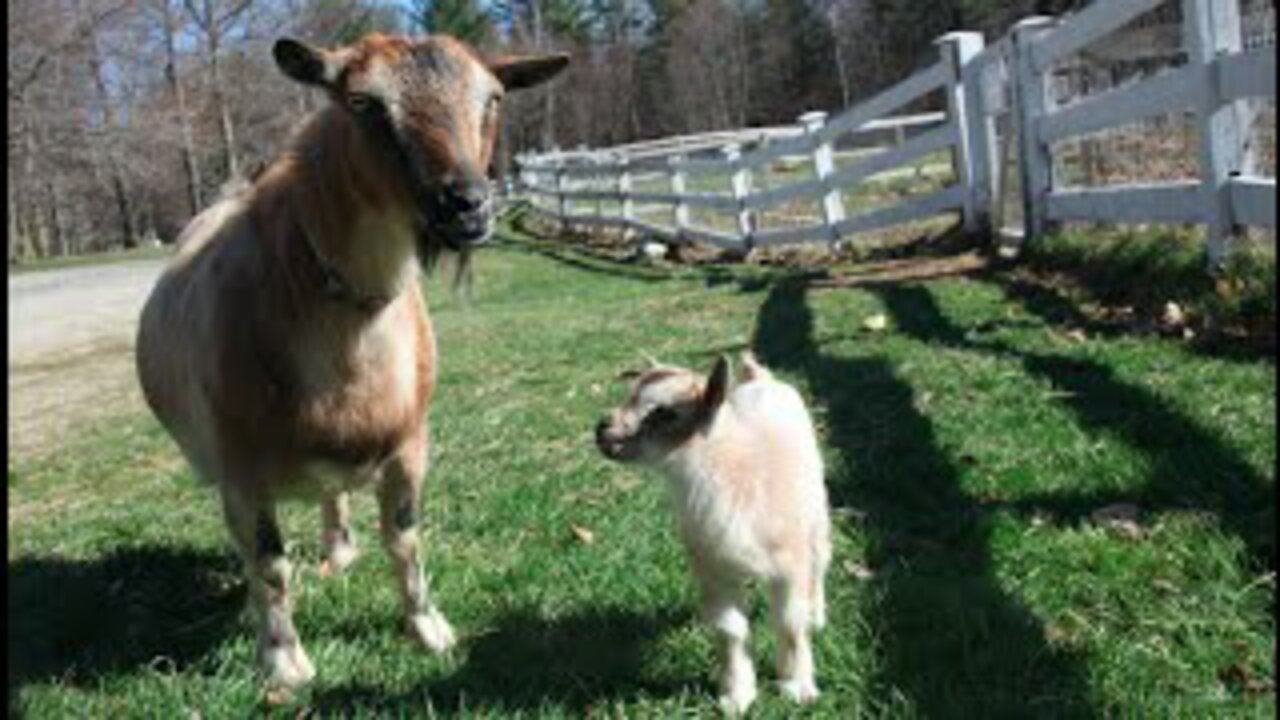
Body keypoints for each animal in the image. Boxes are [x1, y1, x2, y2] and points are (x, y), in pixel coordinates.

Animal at [133, 35, 565, 691]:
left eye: (492, 98)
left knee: (332, 494)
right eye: (363, 103)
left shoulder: (412, 442)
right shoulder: (240, 468)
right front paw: (283, 663)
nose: (467, 205)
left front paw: (428, 628)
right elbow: (269, 563)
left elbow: (405, 538)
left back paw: (339, 549)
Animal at [596, 351, 834, 707]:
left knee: (820, 561)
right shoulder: (712, 569)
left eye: (665, 413)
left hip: (816, 513)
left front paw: (797, 686)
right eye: (629, 395)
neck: (738, 476)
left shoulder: (789, 565)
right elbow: (730, 630)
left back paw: (817, 617)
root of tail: (761, 379)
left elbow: (789, 622)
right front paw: (737, 695)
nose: (602, 429)